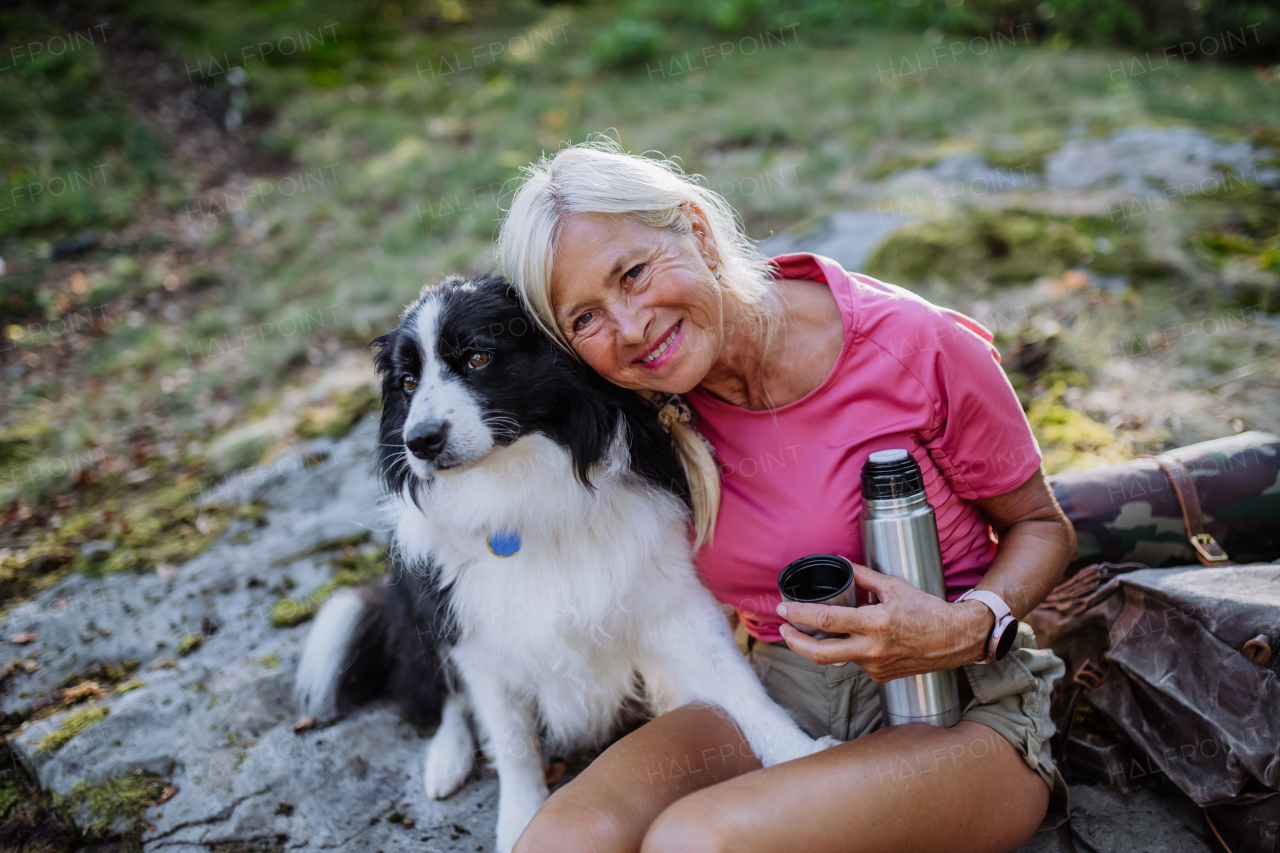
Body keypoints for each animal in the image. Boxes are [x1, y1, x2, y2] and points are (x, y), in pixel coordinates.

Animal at [293, 275, 824, 845]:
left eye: (478, 357)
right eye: (408, 382)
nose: (419, 442)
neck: (517, 490)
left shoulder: (669, 596)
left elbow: (737, 683)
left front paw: (796, 751)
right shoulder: (475, 632)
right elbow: (511, 741)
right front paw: (518, 822)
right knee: (442, 694)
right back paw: (447, 758)